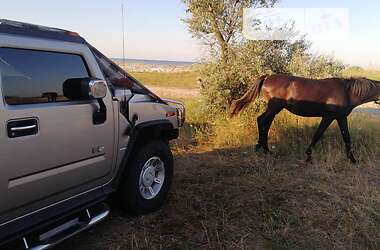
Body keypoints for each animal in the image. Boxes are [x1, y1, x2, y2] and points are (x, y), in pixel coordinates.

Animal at [229, 73, 380, 163]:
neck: (347, 92)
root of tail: (267, 77)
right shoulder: (329, 116)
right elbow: (319, 134)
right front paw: (308, 155)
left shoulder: (340, 117)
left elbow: (345, 137)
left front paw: (351, 158)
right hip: (274, 108)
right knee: (263, 121)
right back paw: (264, 149)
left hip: (273, 109)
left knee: (262, 121)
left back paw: (262, 147)